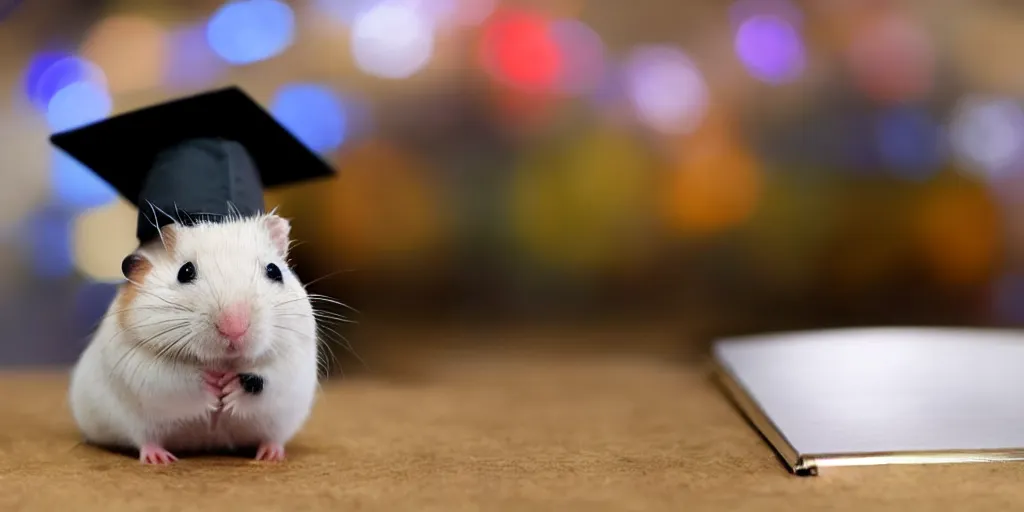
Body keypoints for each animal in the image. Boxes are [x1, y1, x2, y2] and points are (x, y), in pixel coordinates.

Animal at [69, 211, 315, 464]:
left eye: (274, 271)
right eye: (185, 272)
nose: (234, 328)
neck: (223, 361)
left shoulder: (293, 357)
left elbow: (267, 378)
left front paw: (228, 390)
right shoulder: (142, 363)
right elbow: (181, 380)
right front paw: (214, 386)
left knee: (272, 437)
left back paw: (270, 455)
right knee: (146, 439)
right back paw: (160, 459)